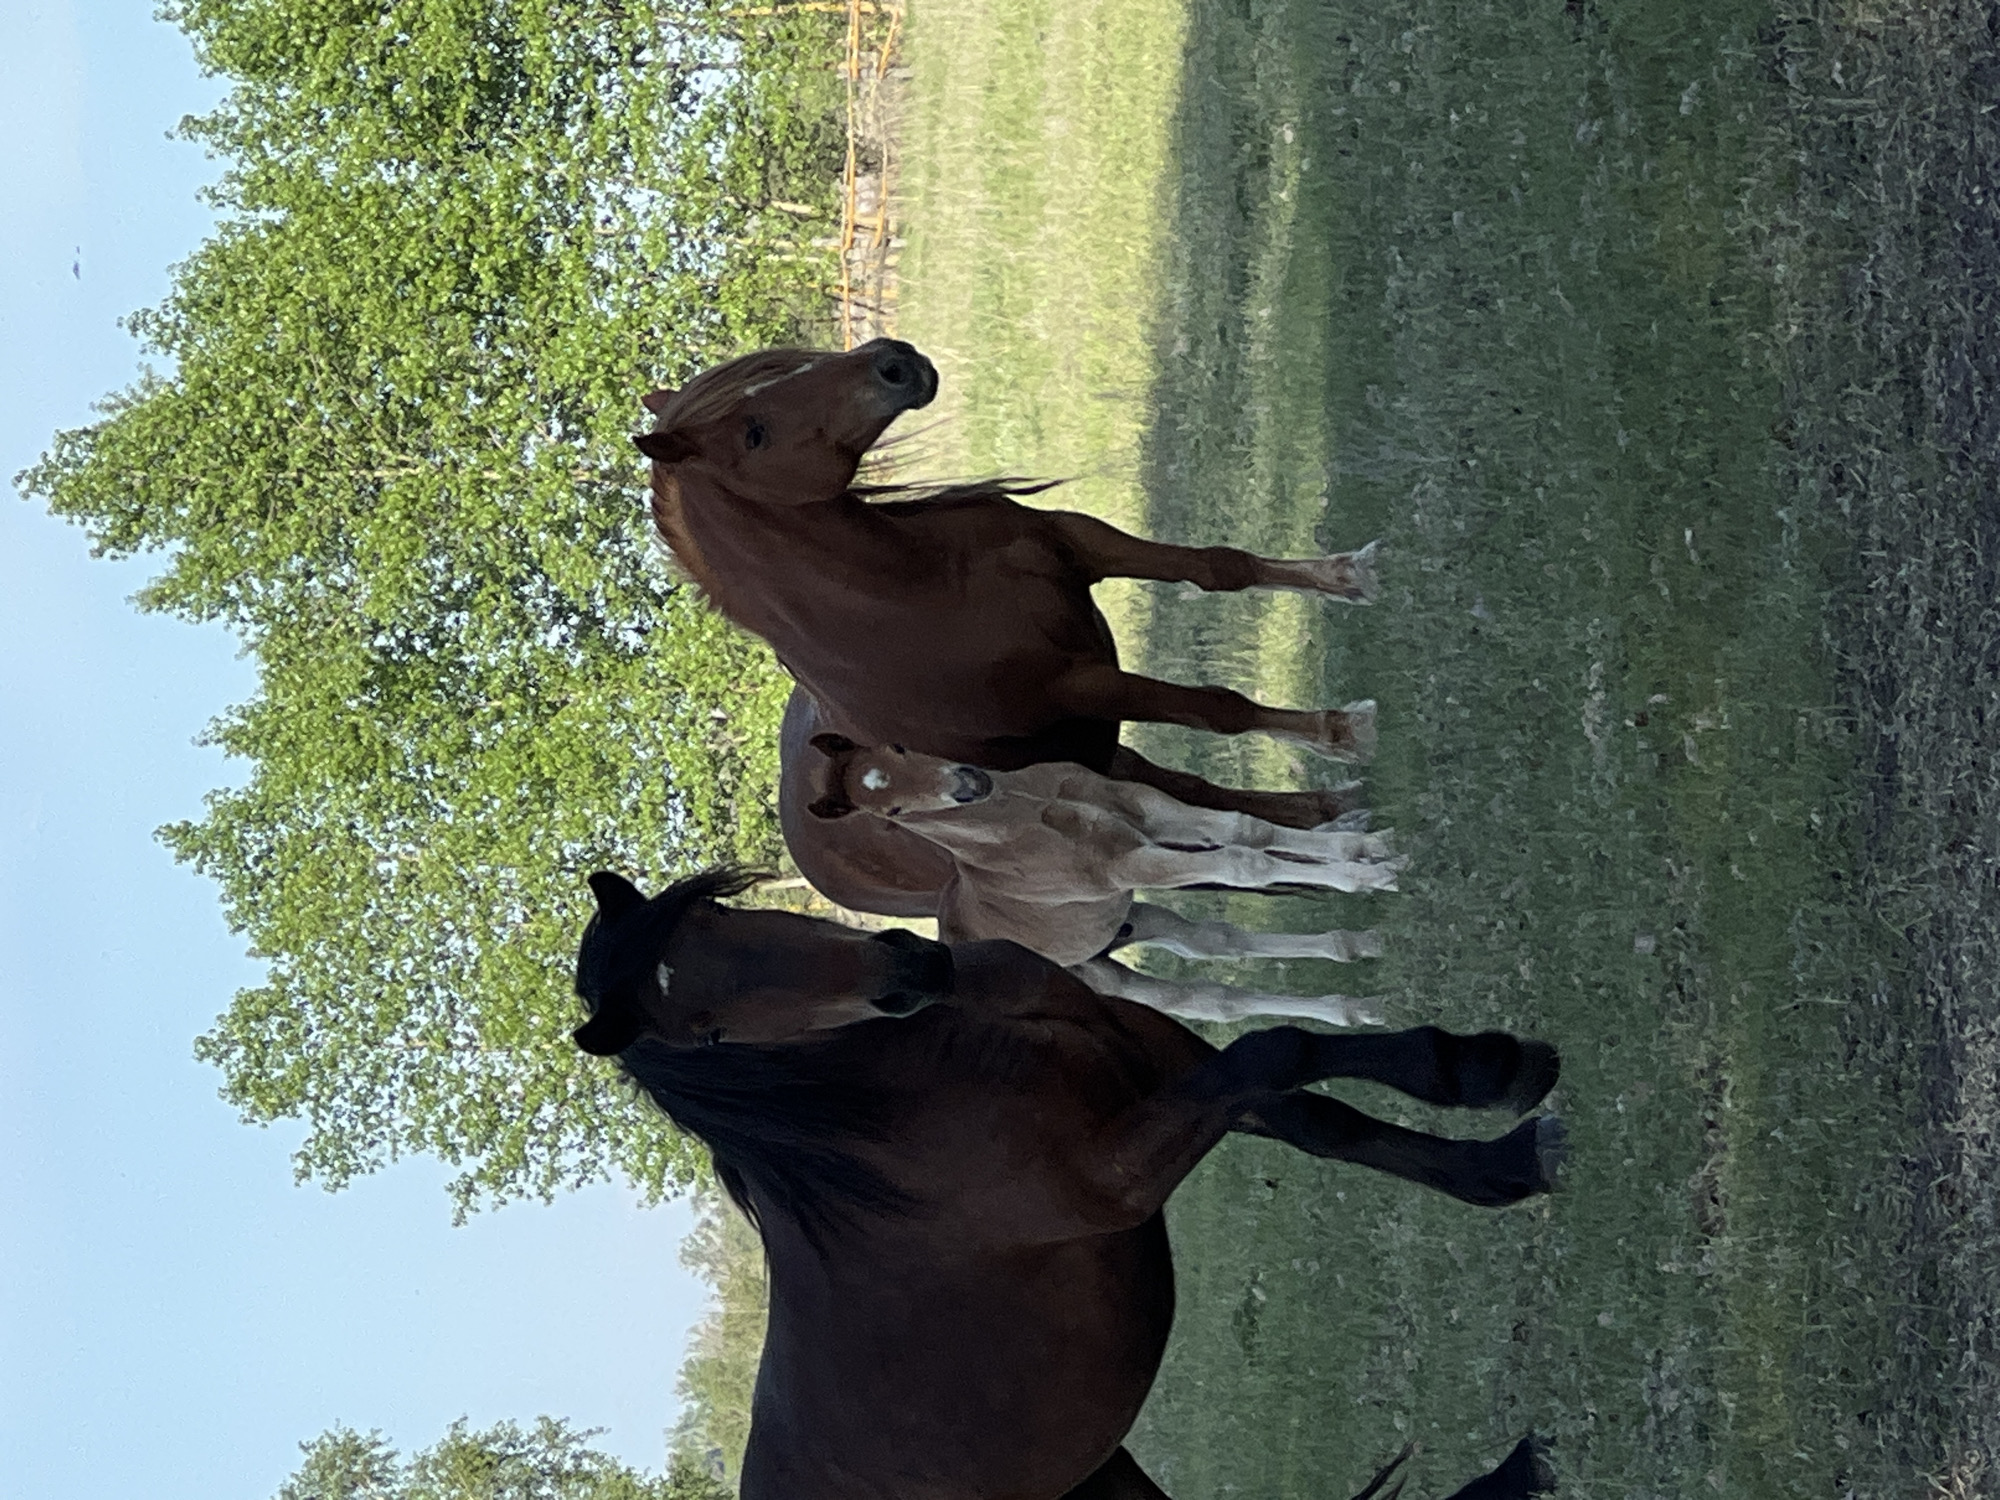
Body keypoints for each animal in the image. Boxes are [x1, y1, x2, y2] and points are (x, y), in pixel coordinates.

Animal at [570, 867, 1564, 1500]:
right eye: (704, 1031)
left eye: (713, 917)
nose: (905, 969)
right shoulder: (1119, 1171)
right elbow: (1275, 1053)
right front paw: (1489, 1084)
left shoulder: (1166, 1065)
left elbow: (1320, 1110)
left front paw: (1495, 1117)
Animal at [636, 340, 1380, 798]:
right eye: (753, 433)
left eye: (786, 365)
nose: (892, 361)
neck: (914, 588)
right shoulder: (1081, 686)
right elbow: (1218, 709)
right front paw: (1338, 731)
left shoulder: (1074, 542)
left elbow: (1220, 568)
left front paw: (1346, 576)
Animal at [803, 732, 1399, 1027]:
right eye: (892, 812)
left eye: (898, 747)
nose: (968, 785)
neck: (1029, 815)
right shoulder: (1127, 865)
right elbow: (1241, 861)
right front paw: (1370, 872)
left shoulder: (1145, 811)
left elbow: (1244, 831)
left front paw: (1370, 850)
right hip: (1102, 973)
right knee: (1199, 999)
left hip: (1130, 920)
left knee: (1215, 945)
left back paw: (1359, 973)